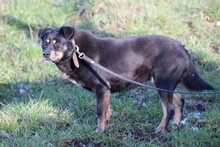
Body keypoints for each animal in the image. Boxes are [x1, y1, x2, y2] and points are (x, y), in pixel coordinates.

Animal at [37, 26, 213, 133]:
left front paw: (99, 131)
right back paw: (175, 125)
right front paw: (107, 126)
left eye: (57, 43)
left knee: (168, 109)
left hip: (162, 83)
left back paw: (160, 130)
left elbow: (100, 112)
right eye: (45, 42)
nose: (45, 54)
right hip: (164, 83)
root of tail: (182, 48)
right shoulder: (106, 90)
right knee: (180, 100)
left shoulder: (101, 88)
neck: (76, 52)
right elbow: (107, 111)